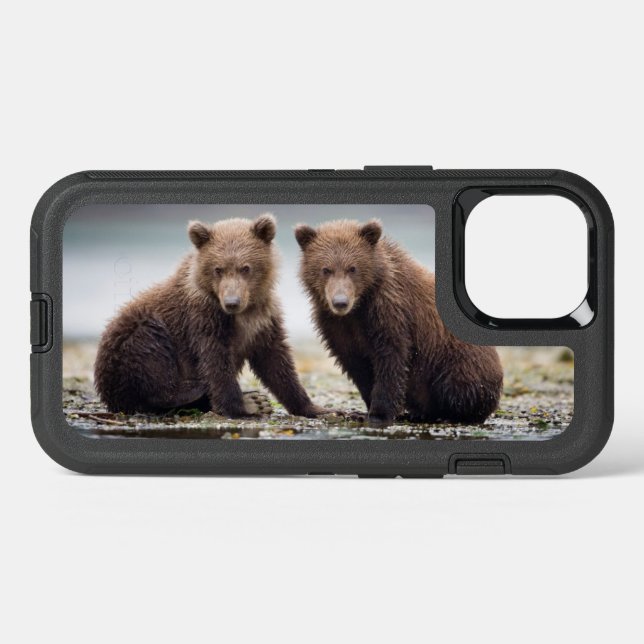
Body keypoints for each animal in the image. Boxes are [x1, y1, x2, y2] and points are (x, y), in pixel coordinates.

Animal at [94, 213, 324, 418]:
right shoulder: (204, 318)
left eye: (245, 268)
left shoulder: (263, 319)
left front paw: (313, 408)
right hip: (128, 342)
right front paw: (242, 407)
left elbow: (276, 361)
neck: (243, 312)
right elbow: (215, 361)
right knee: (149, 352)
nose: (232, 302)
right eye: (218, 269)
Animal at [294, 219, 503, 426]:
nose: (340, 302)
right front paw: (363, 410)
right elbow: (357, 365)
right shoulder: (336, 326)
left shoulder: (390, 313)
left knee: (457, 388)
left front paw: (378, 414)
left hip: (456, 361)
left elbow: (391, 360)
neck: (359, 306)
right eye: (325, 269)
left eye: (352, 268)